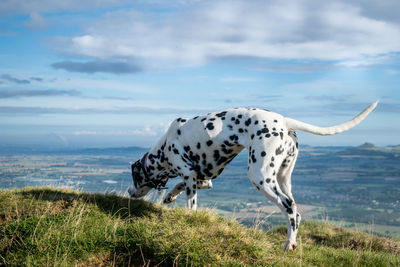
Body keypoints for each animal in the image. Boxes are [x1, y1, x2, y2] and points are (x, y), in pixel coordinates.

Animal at [129, 101, 378, 252]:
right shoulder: (205, 178)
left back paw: (288, 245)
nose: (130, 193)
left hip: (261, 178)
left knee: (290, 210)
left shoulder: (190, 176)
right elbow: (182, 185)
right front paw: (169, 195)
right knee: (297, 211)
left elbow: (191, 203)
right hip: (283, 179)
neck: (163, 149)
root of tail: (284, 121)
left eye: (134, 178)